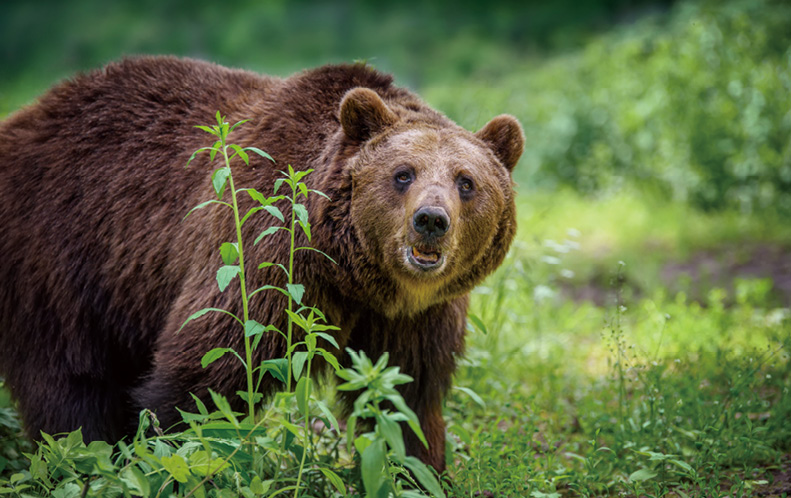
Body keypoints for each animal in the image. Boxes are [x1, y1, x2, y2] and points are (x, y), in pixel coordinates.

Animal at [0, 56, 524, 472]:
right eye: (402, 174)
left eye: (466, 182)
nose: (430, 220)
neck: (357, 276)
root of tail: (23, 118)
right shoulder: (268, 254)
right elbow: (209, 371)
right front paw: (168, 455)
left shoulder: (418, 315)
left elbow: (405, 398)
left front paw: (418, 470)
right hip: (61, 252)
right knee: (68, 380)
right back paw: (83, 457)